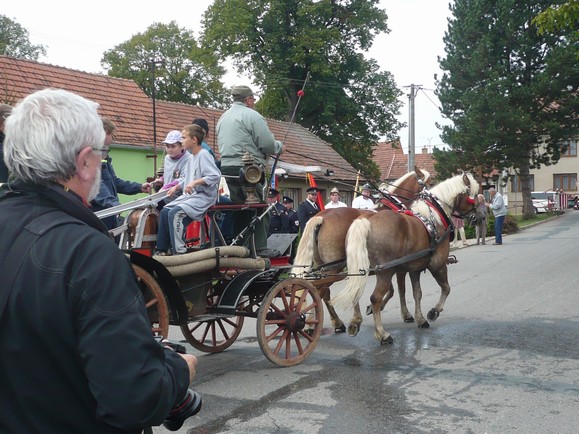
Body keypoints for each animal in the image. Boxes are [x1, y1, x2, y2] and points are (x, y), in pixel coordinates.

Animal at [290, 167, 430, 332]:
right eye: (427, 183)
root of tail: (322, 217)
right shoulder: (393, 265)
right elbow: (397, 289)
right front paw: (401, 313)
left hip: (324, 265)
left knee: (323, 292)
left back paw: (335, 322)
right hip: (334, 267)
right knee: (319, 290)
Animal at [330, 171, 480, 344]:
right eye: (473, 194)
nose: (479, 217)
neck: (434, 216)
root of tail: (365, 220)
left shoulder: (414, 269)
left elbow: (417, 293)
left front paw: (420, 318)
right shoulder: (437, 264)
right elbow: (446, 288)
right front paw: (433, 312)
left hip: (362, 269)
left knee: (355, 291)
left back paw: (354, 323)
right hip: (384, 272)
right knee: (375, 298)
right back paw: (382, 334)